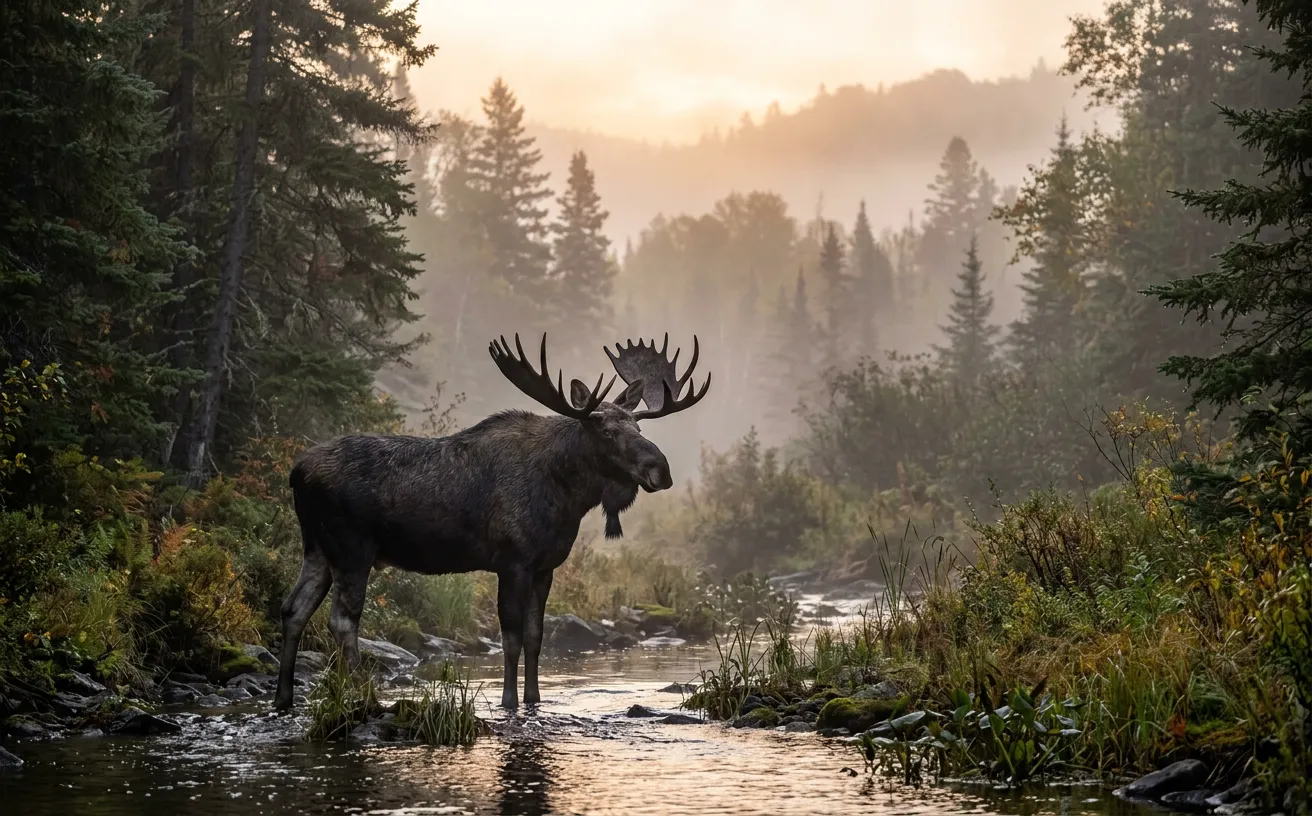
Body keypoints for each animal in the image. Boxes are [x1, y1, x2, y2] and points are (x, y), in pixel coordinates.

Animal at [273, 333, 710, 711]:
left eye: (637, 425)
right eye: (603, 430)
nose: (660, 469)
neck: (568, 496)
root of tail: (297, 472)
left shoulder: (545, 567)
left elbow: (536, 637)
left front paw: (534, 700)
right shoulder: (512, 561)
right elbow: (511, 638)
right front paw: (509, 702)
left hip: (317, 548)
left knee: (293, 609)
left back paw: (284, 698)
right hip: (352, 549)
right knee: (342, 620)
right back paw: (364, 698)